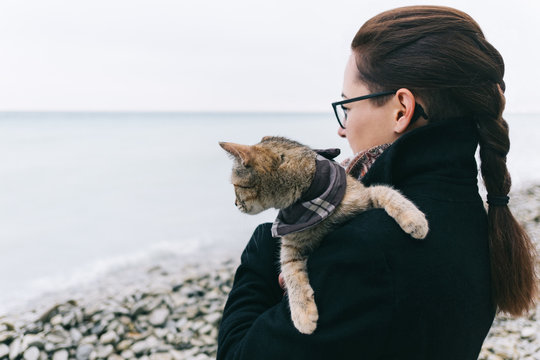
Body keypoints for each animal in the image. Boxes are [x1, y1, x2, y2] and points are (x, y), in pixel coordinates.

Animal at [218, 136, 426, 334]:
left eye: (236, 186)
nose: (235, 204)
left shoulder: (364, 196)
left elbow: (387, 192)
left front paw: (415, 220)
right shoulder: (290, 247)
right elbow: (291, 275)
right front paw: (303, 314)